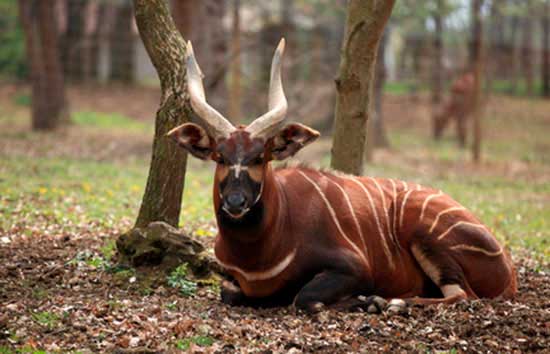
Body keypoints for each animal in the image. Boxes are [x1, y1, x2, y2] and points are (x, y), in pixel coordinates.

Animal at [167, 39, 516, 312]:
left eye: (259, 157)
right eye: (220, 156)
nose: (235, 202)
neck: (258, 256)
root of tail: (509, 270)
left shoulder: (354, 267)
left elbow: (304, 298)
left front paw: (362, 301)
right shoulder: (231, 281)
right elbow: (231, 294)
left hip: (426, 237)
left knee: (461, 296)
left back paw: (389, 302)